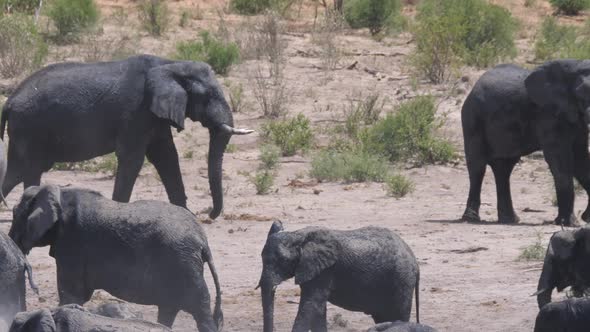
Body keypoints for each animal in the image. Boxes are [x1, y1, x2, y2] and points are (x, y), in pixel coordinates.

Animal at [0, 54, 254, 219]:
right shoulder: (136, 111)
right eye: (207, 96)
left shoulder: (154, 114)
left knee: (15, 171)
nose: (210, 214)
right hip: (31, 126)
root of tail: (9, 102)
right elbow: (133, 158)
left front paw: (186, 215)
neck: (171, 65)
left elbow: (166, 156)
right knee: (31, 169)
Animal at [9, 185, 227, 330]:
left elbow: (71, 293)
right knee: (169, 308)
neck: (59, 192)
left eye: (15, 214)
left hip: (183, 263)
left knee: (199, 310)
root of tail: (202, 241)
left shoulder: (72, 244)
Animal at [260, 220, 420, 332]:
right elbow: (318, 308)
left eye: (284, 261)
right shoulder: (314, 270)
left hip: (402, 279)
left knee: (399, 314)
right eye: (262, 257)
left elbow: (310, 304)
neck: (298, 235)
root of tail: (414, 260)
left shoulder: (325, 270)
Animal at [464, 59, 590, 226]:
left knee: (503, 169)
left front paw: (586, 219)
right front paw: (567, 223)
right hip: (472, 118)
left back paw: (509, 220)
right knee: (478, 168)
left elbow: (581, 160)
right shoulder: (548, 113)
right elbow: (560, 160)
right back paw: (471, 219)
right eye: (581, 95)